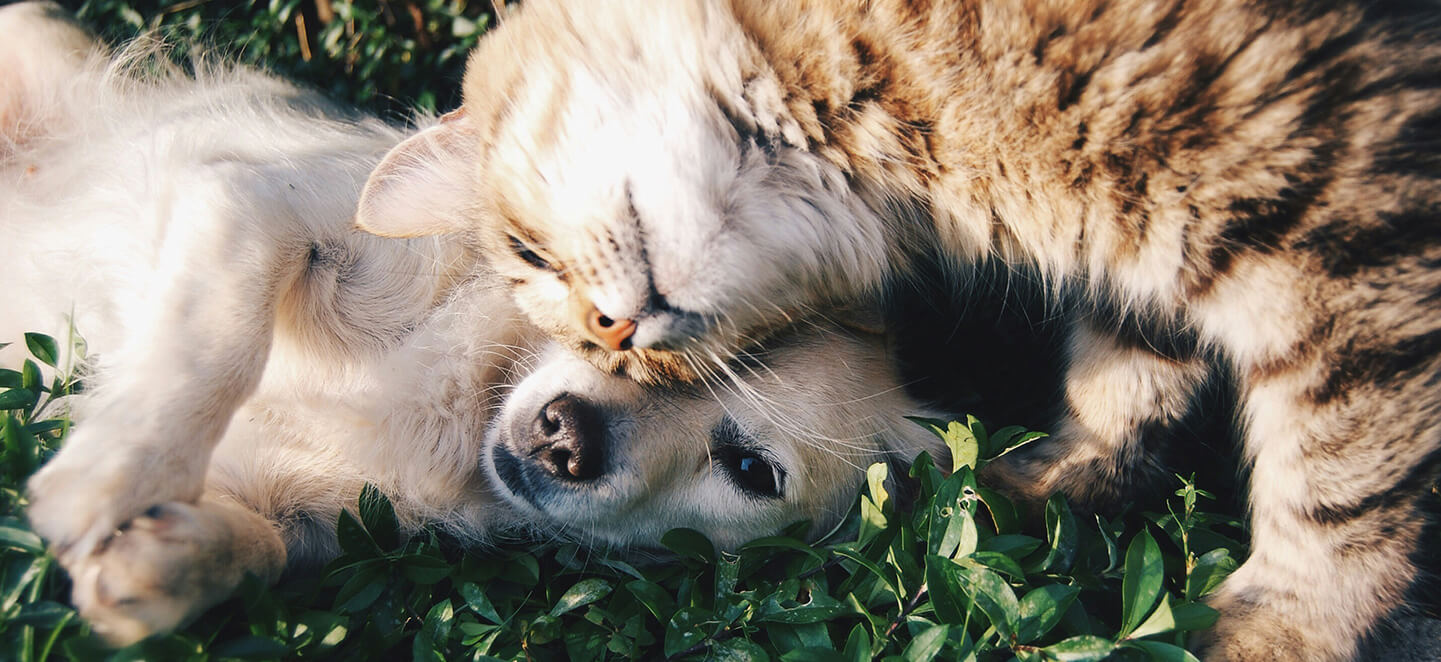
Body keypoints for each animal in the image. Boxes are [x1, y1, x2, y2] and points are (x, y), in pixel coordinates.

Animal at [2, 3, 945, 649]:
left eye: (750, 470)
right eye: (609, 327)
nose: (567, 436)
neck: (468, 402)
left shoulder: (308, 520)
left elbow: (260, 551)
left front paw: (160, 563)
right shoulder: (253, 203)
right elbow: (214, 346)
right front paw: (108, 476)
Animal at [357, 2, 1441, 660]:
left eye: (526, 253)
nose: (614, 334)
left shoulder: (1346, 225)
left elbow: (1338, 483)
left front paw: (1289, 629)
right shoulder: (1150, 255)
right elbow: (1125, 379)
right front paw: (1044, 483)